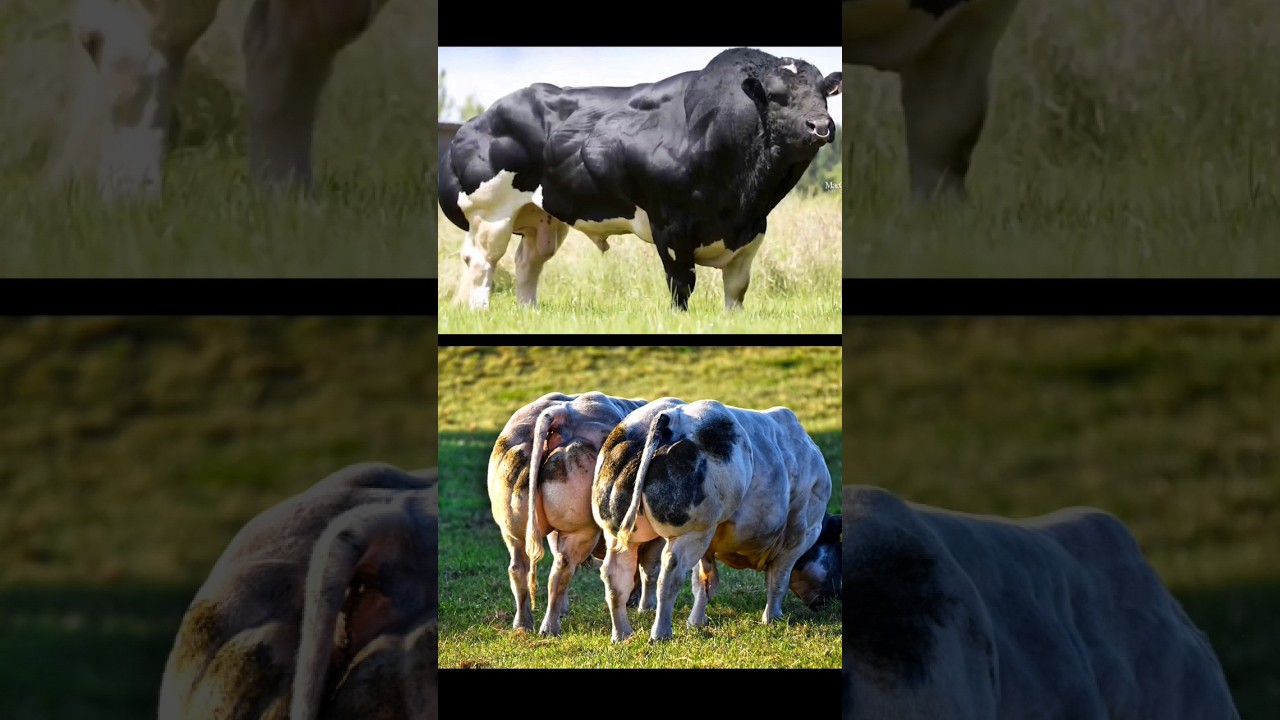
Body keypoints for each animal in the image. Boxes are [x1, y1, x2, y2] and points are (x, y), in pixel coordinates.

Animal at [438, 47, 841, 311]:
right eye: (775, 96)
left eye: (824, 92)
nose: (821, 126)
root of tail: (477, 121)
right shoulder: (670, 225)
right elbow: (681, 283)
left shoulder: (753, 231)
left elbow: (737, 288)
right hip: (491, 214)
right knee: (482, 261)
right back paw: (480, 310)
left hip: (543, 216)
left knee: (528, 261)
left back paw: (529, 311)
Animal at [488, 391, 661, 636]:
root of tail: (560, 413)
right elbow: (650, 567)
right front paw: (647, 606)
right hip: (580, 529)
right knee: (560, 571)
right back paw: (549, 627)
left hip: (512, 527)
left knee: (519, 569)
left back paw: (523, 624)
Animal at [592, 397, 838, 642]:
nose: (832, 601)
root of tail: (669, 416)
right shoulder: (799, 535)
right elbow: (778, 580)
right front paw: (772, 617)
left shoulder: (710, 543)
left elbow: (704, 583)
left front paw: (695, 622)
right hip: (691, 532)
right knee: (669, 576)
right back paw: (660, 633)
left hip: (618, 533)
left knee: (615, 577)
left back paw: (622, 634)